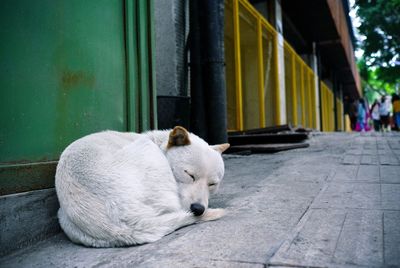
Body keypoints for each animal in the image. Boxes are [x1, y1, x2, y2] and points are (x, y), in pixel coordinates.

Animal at [55, 126, 230, 247]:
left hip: (66, 220)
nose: (198, 209)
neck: (157, 141)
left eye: (212, 184)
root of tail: (123, 224)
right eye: (189, 174)